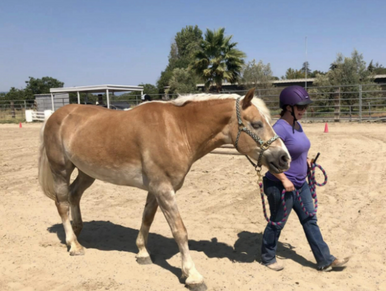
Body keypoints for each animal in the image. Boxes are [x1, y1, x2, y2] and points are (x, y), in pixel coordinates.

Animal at [37, 88, 290, 290]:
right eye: (257, 124)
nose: (284, 158)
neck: (178, 130)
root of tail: (56, 116)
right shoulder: (164, 189)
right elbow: (179, 230)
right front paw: (192, 275)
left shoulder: (156, 189)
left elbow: (147, 218)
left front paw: (142, 253)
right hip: (61, 169)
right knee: (62, 203)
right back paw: (74, 245)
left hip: (86, 172)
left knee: (74, 195)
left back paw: (77, 231)